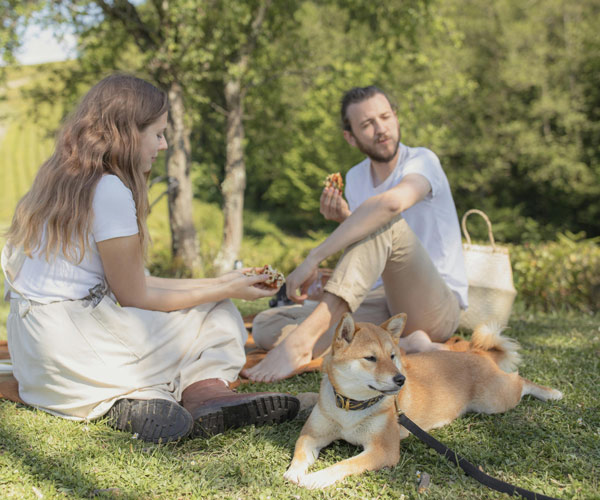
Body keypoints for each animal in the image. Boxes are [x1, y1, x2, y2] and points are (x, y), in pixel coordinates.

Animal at [284, 312, 564, 488]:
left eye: (393, 356)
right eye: (371, 358)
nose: (400, 380)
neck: (351, 408)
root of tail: (477, 353)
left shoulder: (384, 450)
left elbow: (345, 464)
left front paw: (318, 478)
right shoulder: (312, 435)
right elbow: (299, 454)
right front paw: (294, 473)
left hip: (496, 401)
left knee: (520, 380)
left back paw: (551, 392)